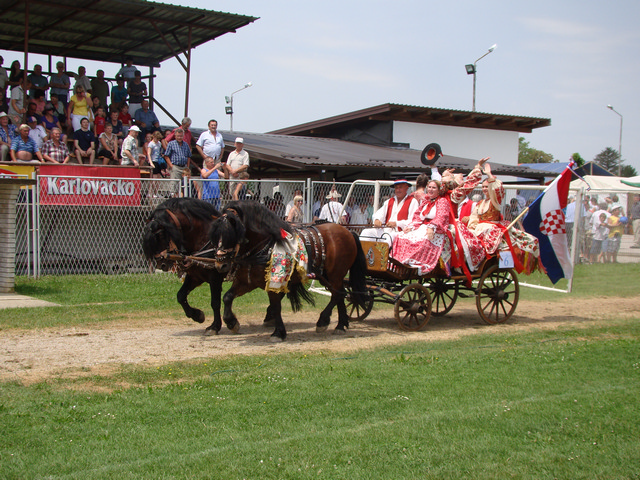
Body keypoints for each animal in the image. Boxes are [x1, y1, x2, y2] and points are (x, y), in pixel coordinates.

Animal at [142, 197, 240, 336]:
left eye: (160, 234)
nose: (162, 264)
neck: (204, 238)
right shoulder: (195, 276)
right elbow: (180, 295)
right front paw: (197, 315)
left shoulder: (215, 277)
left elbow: (215, 303)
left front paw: (215, 326)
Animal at [210, 201, 370, 340]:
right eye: (215, 235)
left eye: (232, 233)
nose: (220, 265)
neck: (264, 246)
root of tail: (348, 231)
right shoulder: (246, 282)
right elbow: (227, 297)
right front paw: (231, 322)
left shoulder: (274, 283)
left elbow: (276, 306)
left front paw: (278, 332)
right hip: (327, 276)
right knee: (340, 294)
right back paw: (341, 325)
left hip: (335, 274)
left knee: (338, 294)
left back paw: (323, 321)